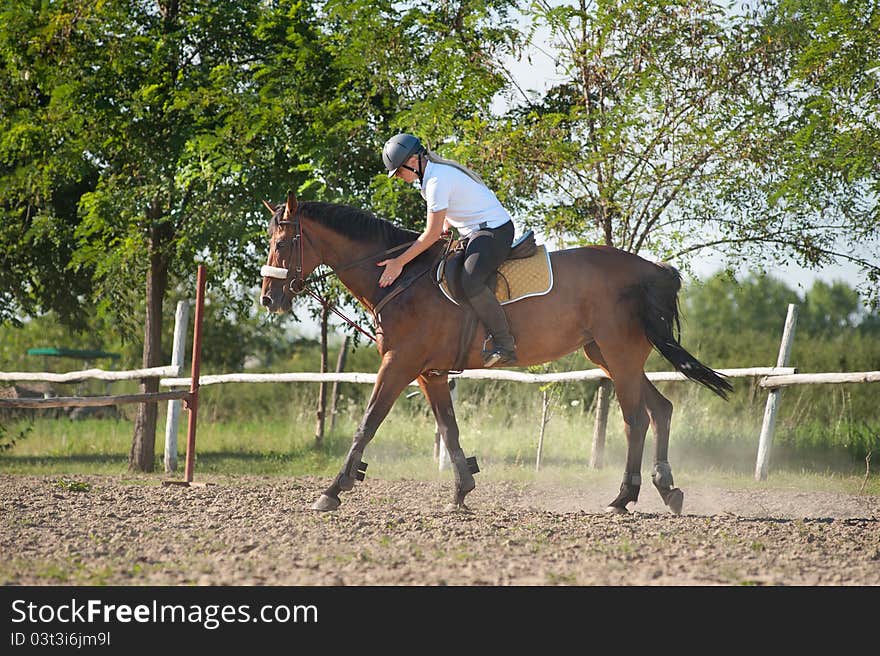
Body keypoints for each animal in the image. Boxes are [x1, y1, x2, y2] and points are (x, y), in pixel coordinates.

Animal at [262, 192, 736, 516]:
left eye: (282, 245)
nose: (269, 299)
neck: (401, 278)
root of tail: (650, 268)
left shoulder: (398, 364)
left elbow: (367, 424)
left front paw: (333, 490)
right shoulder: (430, 374)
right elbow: (449, 431)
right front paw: (460, 492)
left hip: (618, 356)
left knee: (635, 420)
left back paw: (623, 497)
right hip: (607, 356)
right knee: (661, 409)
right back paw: (666, 489)